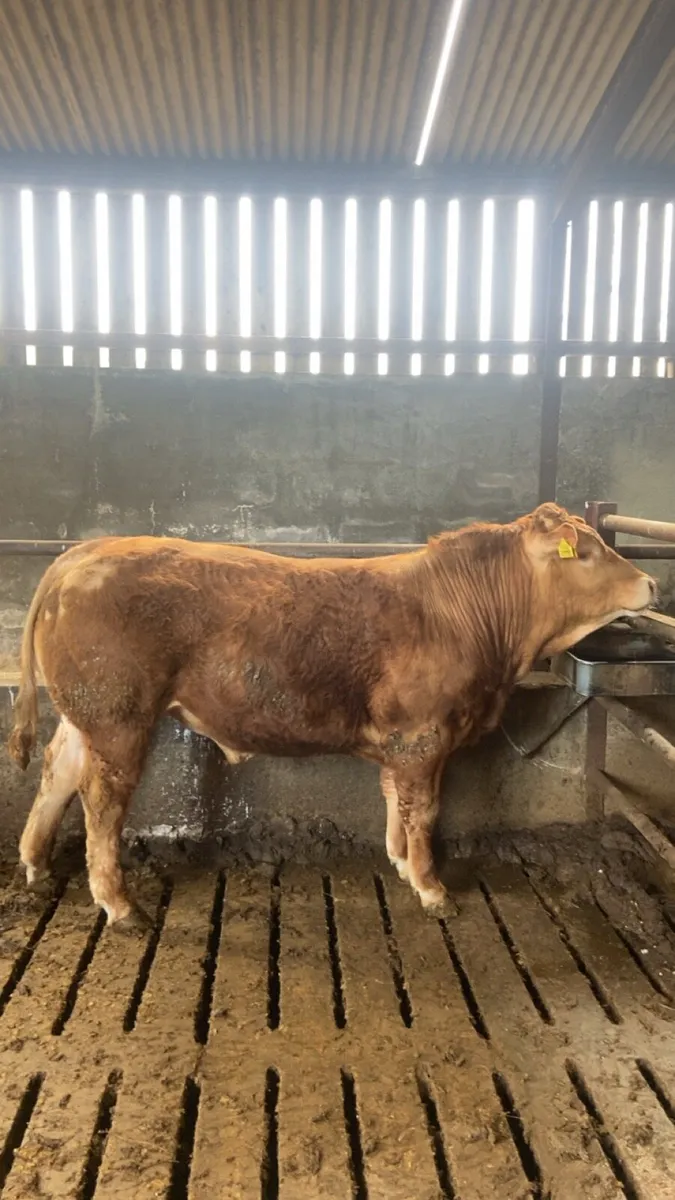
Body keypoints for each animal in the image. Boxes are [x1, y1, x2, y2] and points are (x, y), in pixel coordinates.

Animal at [7, 503, 656, 932]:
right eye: (588, 552)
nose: (651, 582)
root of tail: (86, 551)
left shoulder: (401, 740)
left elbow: (396, 800)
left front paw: (400, 862)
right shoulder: (423, 735)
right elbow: (425, 810)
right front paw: (432, 888)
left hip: (87, 717)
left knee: (57, 770)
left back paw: (35, 863)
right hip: (118, 717)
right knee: (101, 801)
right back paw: (120, 906)